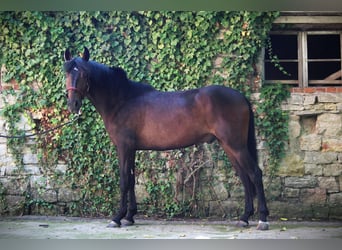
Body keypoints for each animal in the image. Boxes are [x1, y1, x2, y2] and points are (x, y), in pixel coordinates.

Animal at [62, 47, 268, 230]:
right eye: (66, 73)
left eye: (84, 74)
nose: (73, 104)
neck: (122, 100)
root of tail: (241, 97)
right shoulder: (132, 149)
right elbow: (132, 179)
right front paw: (129, 217)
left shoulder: (124, 147)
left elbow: (124, 180)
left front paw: (117, 218)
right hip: (228, 146)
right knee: (244, 177)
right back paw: (244, 218)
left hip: (236, 146)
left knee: (255, 174)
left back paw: (262, 220)